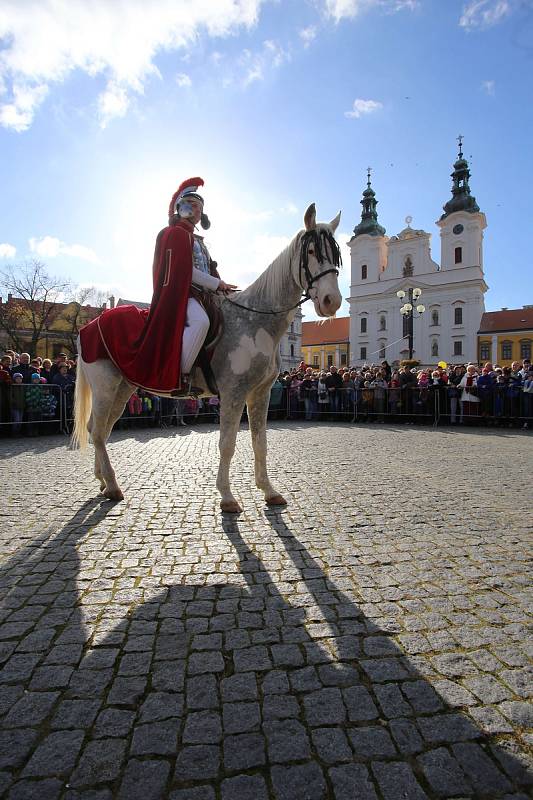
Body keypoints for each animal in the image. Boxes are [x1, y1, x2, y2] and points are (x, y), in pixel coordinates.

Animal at [71, 202, 340, 512]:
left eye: (335, 254)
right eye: (312, 252)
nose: (332, 301)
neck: (255, 322)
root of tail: (89, 326)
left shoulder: (260, 393)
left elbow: (260, 443)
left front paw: (269, 491)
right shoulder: (234, 393)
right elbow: (227, 444)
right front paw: (227, 496)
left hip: (122, 389)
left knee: (98, 429)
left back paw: (102, 481)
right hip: (106, 388)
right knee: (98, 433)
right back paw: (113, 486)